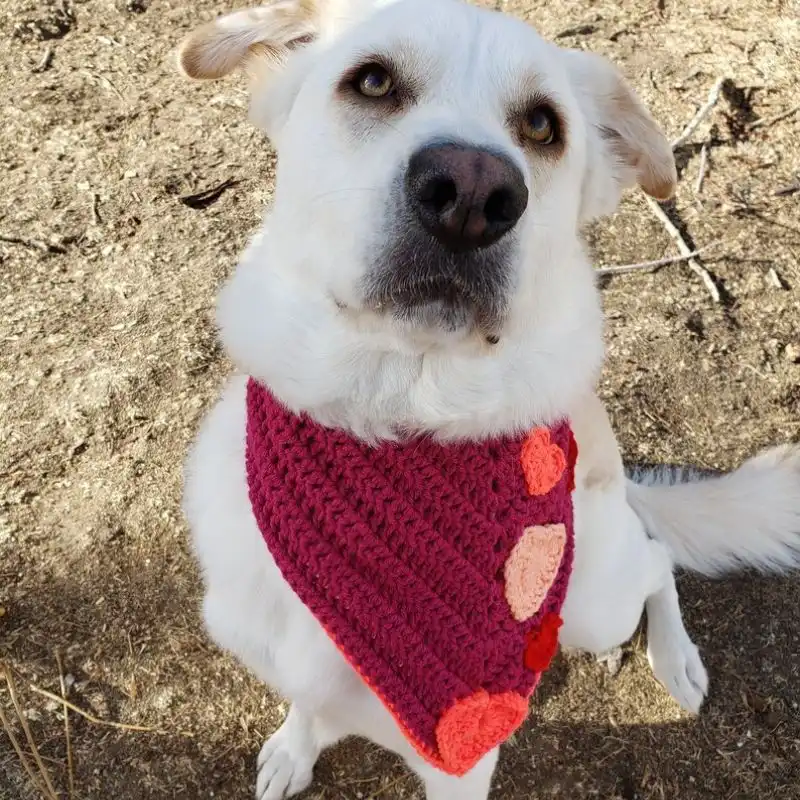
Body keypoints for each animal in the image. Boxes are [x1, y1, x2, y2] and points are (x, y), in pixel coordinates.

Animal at [180, 3, 800, 796]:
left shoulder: (462, 760)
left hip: (595, 594)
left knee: (655, 558)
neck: (400, 416)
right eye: (372, 81)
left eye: (541, 126)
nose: (473, 193)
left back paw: (675, 659)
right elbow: (307, 705)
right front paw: (295, 747)